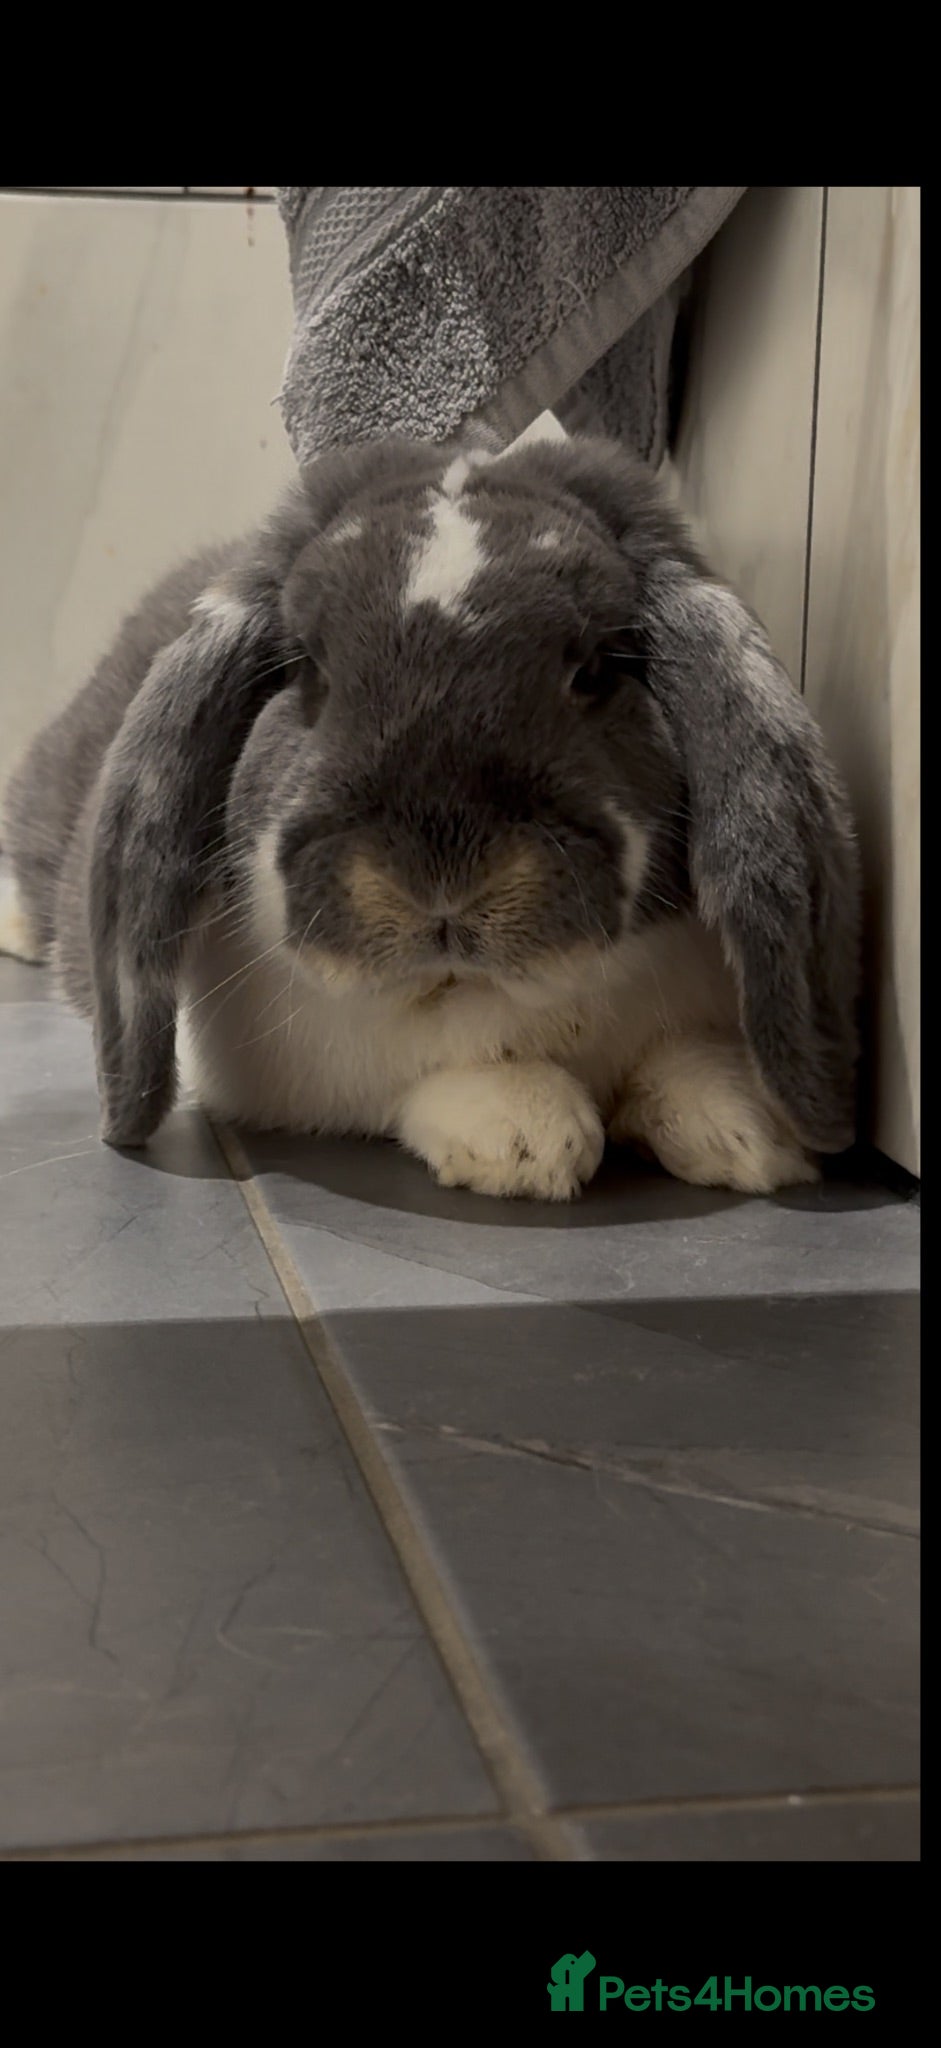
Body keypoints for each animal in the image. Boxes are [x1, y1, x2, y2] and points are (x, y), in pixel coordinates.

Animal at [0, 434, 860, 1201]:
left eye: (592, 669)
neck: (481, 988)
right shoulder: (293, 1071)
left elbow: (680, 1057)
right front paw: (528, 1136)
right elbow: (424, 1076)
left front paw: (748, 1131)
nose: (439, 876)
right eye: (306, 667)